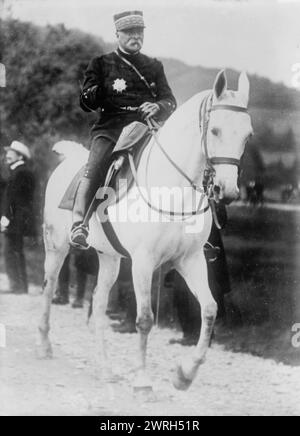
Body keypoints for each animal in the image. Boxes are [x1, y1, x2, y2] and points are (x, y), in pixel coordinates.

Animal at [38, 70, 253, 390]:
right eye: (214, 130)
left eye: (247, 135)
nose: (226, 191)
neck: (174, 189)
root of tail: (69, 161)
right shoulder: (143, 262)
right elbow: (144, 319)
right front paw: (142, 380)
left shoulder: (190, 260)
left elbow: (210, 309)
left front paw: (185, 374)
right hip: (56, 247)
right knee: (48, 287)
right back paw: (45, 345)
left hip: (110, 258)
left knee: (98, 304)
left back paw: (105, 368)